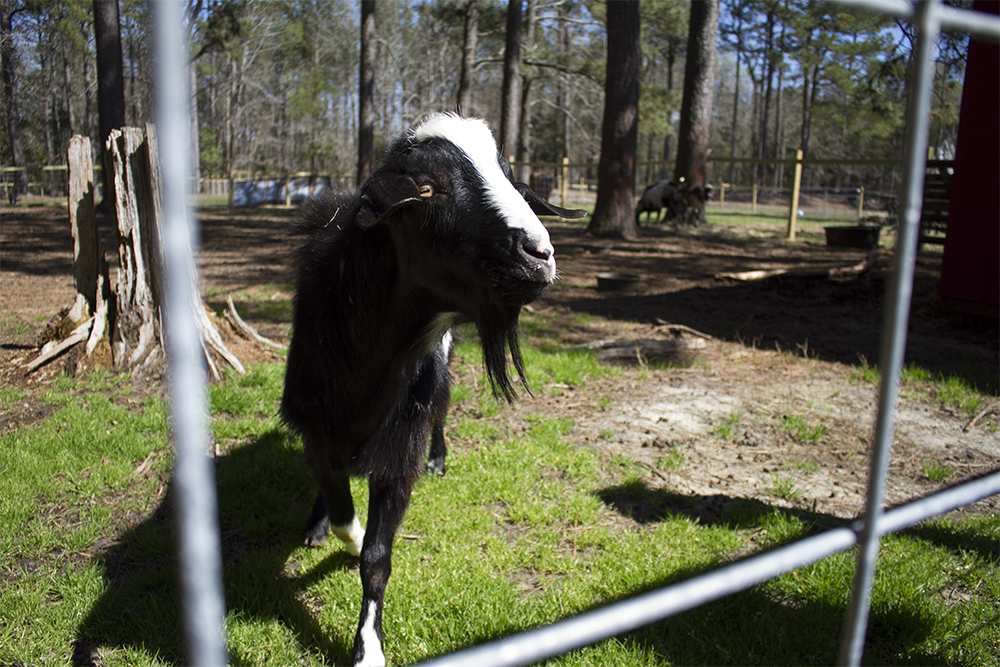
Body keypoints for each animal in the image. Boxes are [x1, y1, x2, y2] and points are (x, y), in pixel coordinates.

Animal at [280, 113, 584, 667]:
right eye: (426, 188)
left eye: (511, 176)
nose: (540, 254)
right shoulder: (318, 428)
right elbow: (342, 510)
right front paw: (333, 527)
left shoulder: (402, 443)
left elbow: (377, 556)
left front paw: (369, 649)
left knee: (442, 408)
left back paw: (439, 460)